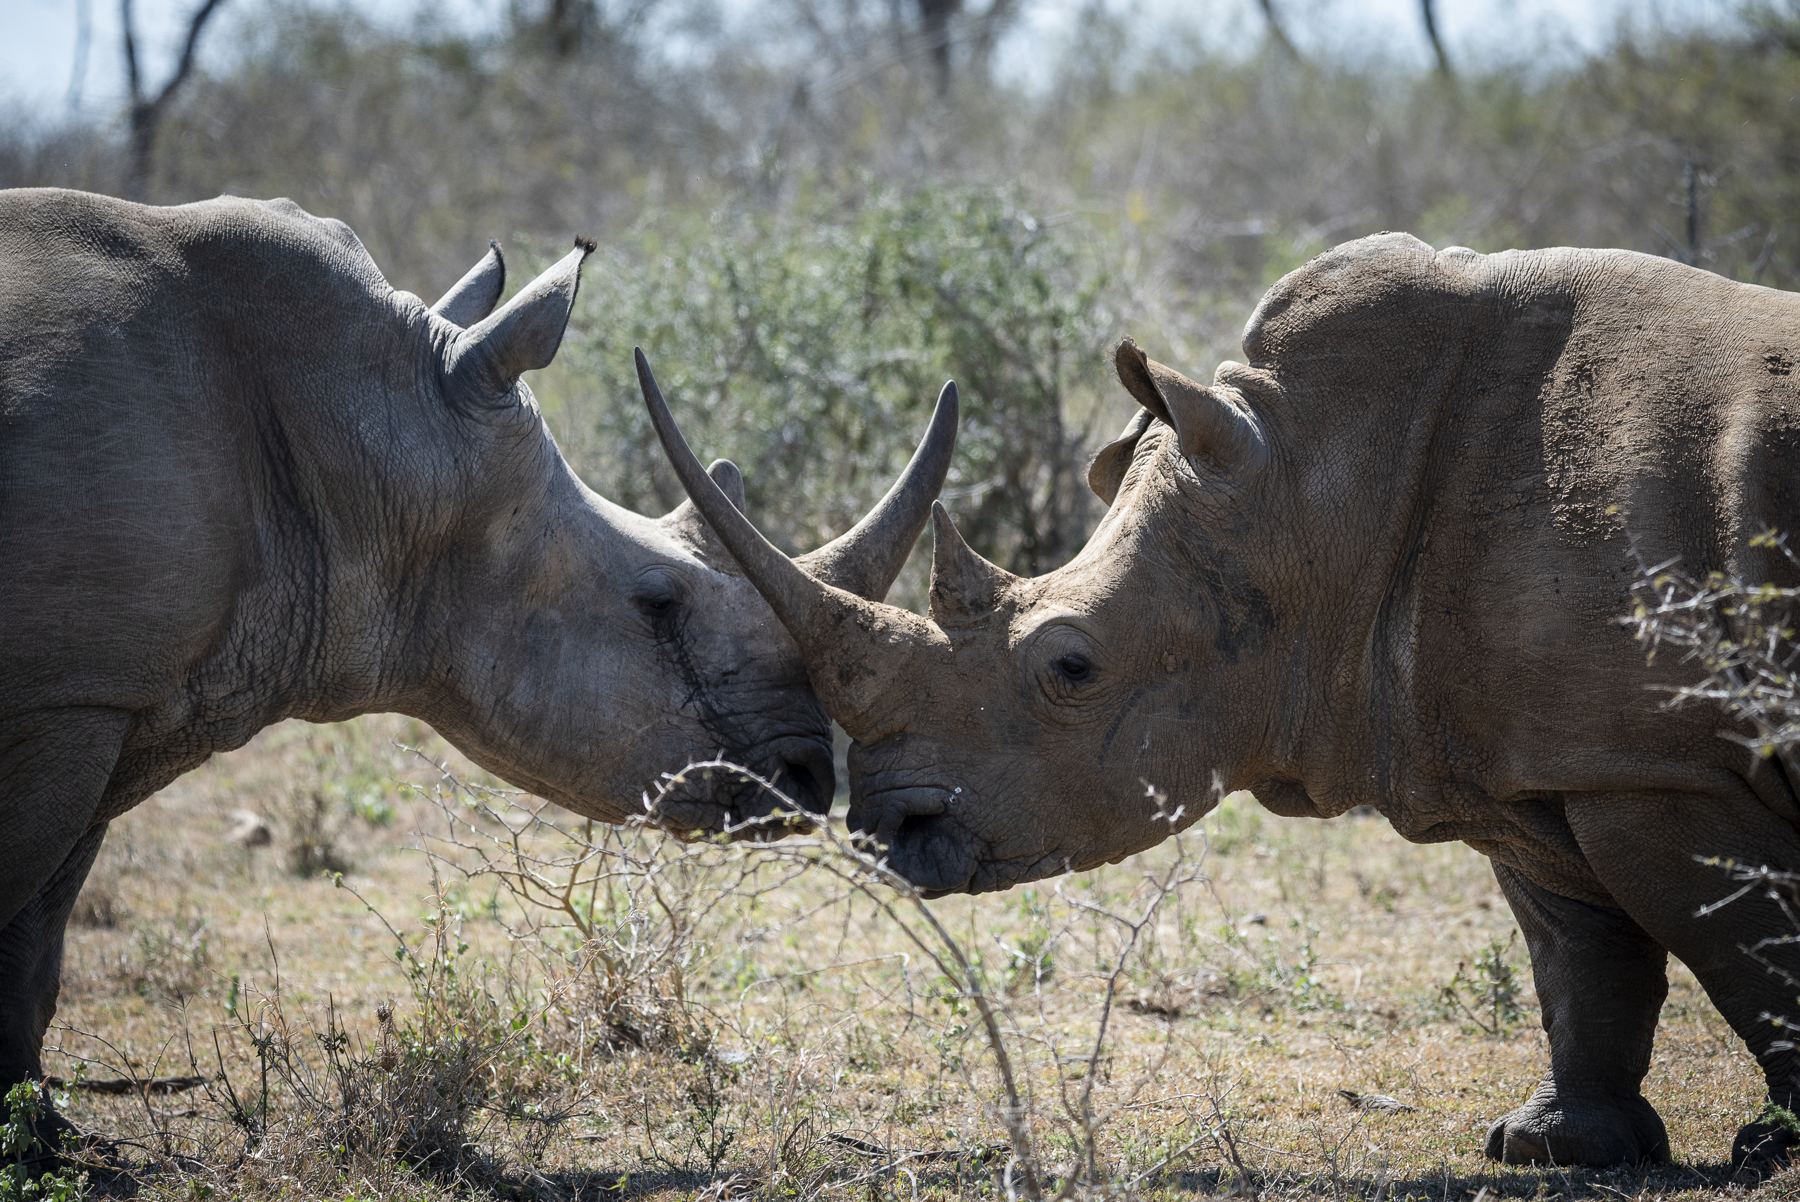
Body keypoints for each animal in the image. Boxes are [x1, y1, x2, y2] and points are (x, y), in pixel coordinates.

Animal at [0, 188, 954, 1140]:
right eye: (658, 606)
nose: (808, 778)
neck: (371, 429)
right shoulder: (71, 699)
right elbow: (26, 905)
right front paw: (34, 1141)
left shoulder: (113, 693)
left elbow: (40, 931)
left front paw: (42, 1135)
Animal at [639, 235, 1800, 1169]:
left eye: (1071, 667)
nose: (890, 826)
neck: (1320, 486)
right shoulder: (1544, 750)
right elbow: (1577, 951)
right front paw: (1555, 1147)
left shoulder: (1659, 766)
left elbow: (1744, 942)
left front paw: (1773, 1149)